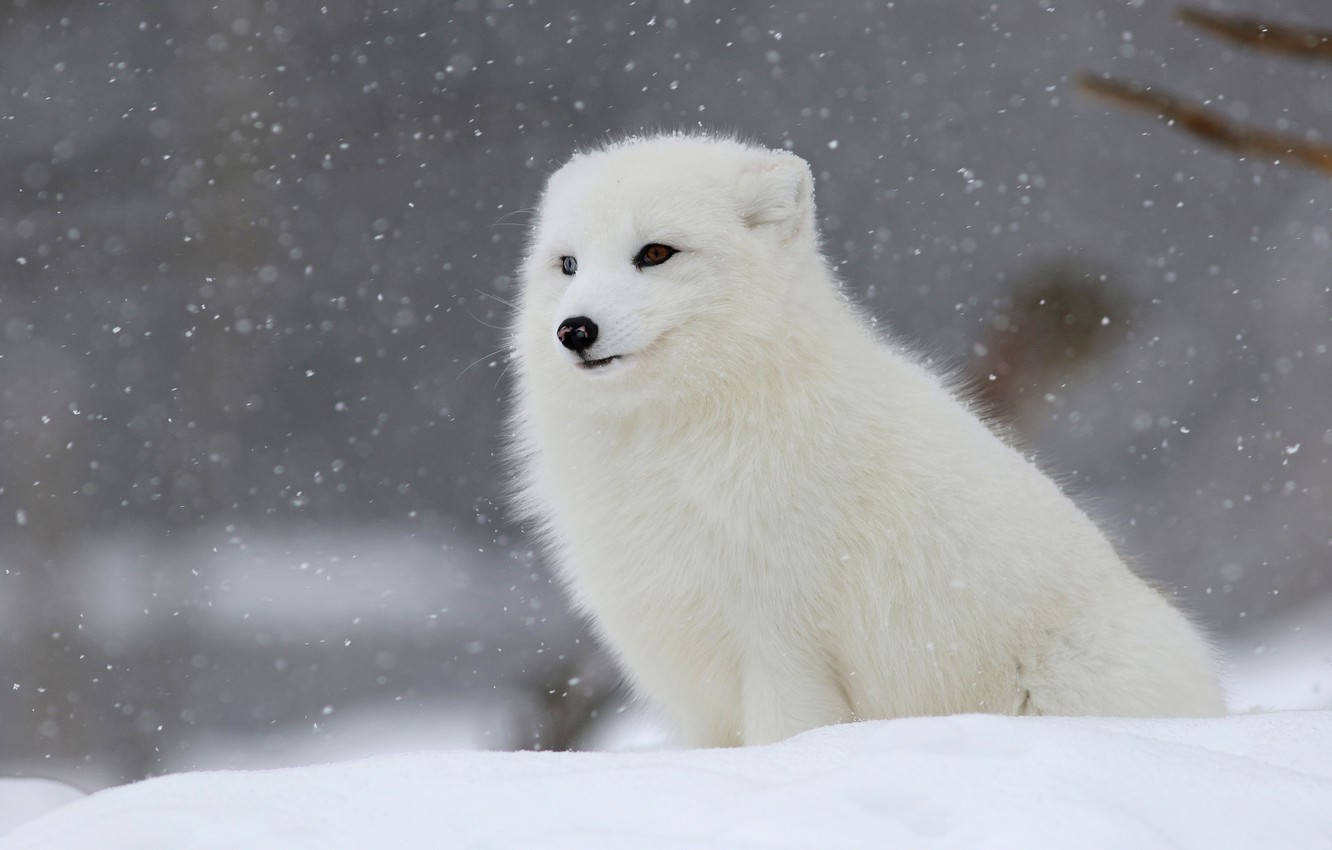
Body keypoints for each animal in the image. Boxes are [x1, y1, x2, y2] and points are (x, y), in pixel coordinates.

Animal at [508, 131, 1225, 746]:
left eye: (655, 253)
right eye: (568, 264)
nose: (574, 330)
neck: (672, 446)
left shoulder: (783, 649)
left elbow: (786, 737)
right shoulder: (686, 678)